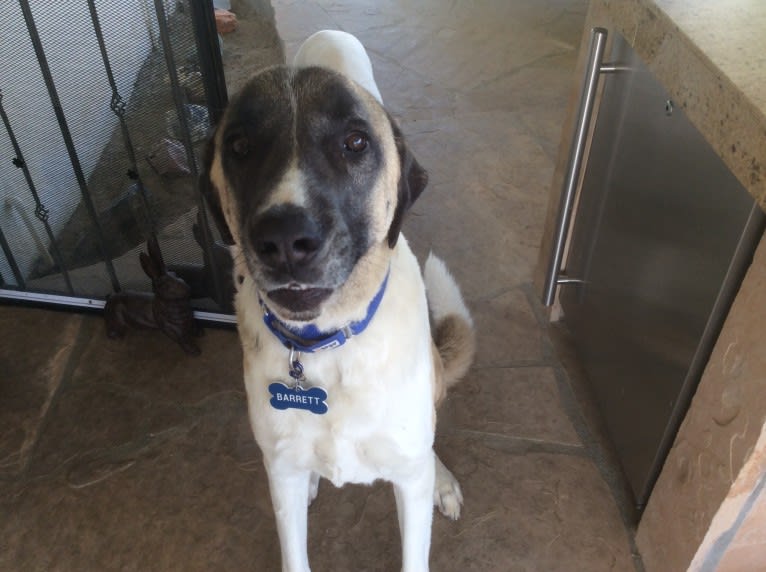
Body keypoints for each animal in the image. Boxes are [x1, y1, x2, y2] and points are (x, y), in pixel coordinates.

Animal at [204, 30, 476, 572]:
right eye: (239, 146)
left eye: (355, 142)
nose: (285, 239)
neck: (328, 347)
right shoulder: (279, 474)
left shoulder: (408, 481)